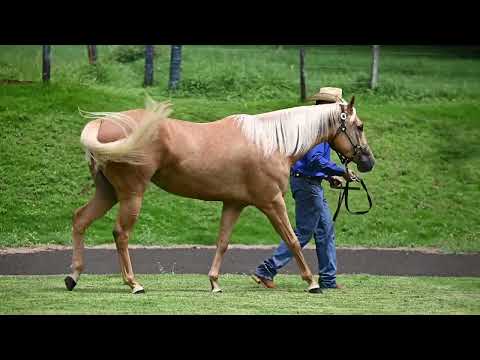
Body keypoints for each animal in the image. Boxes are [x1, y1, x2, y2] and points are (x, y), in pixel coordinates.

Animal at [65, 95, 376, 292]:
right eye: (359, 126)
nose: (368, 162)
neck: (271, 142)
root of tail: (103, 124)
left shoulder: (233, 204)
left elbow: (223, 242)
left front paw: (214, 283)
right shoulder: (271, 202)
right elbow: (292, 239)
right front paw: (312, 283)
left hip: (108, 193)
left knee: (80, 220)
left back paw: (73, 277)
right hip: (132, 195)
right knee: (121, 234)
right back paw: (134, 284)